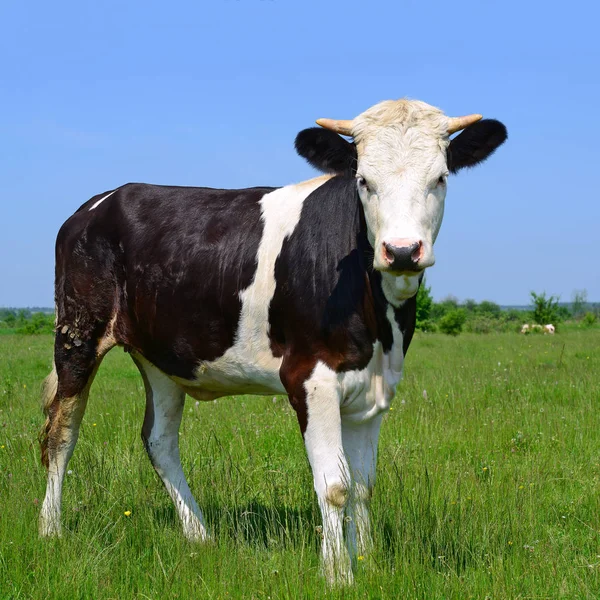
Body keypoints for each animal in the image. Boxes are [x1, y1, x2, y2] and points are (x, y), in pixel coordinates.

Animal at [37, 99, 506, 584]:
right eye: (363, 180)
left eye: (441, 178)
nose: (400, 251)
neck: (378, 321)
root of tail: (100, 201)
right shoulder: (310, 377)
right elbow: (335, 486)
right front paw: (337, 574)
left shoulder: (376, 386)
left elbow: (363, 484)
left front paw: (366, 560)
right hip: (77, 332)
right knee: (61, 433)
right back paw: (51, 530)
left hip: (161, 356)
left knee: (159, 441)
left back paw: (200, 537)